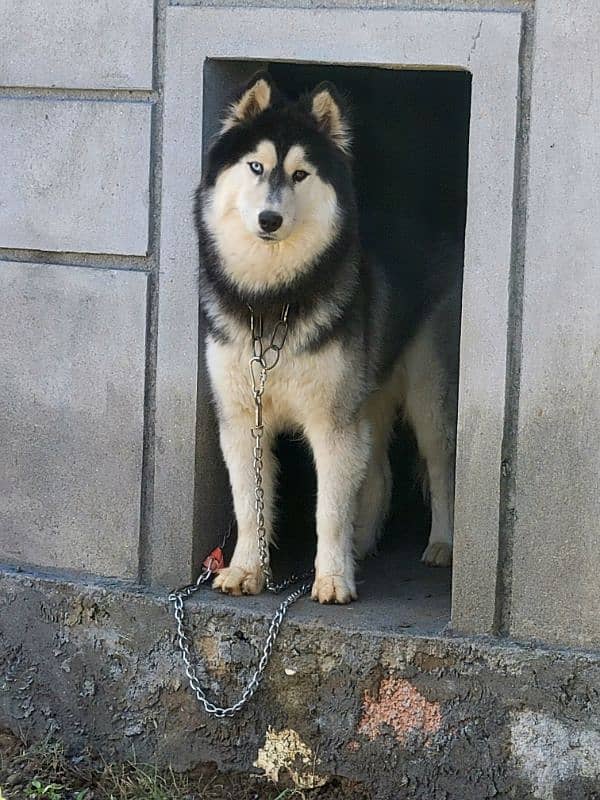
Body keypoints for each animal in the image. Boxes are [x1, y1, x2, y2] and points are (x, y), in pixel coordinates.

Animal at [195, 72, 462, 604]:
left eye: (300, 175)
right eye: (256, 166)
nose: (270, 220)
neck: (273, 298)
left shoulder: (332, 423)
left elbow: (329, 510)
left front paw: (333, 576)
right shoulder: (242, 417)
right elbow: (249, 504)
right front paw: (246, 569)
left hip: (428, 389)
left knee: (439, 467)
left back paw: (440, 543)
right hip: (366, 391)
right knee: (378, 472)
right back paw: (363, 544)